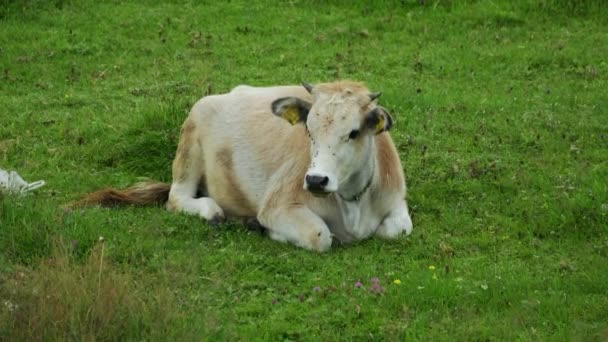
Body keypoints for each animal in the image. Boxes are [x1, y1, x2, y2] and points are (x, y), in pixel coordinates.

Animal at [79, 80, 414, 251]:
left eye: (354, 132)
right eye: (309, 130)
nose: (316, 180)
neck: (353, 204)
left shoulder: (397, 201)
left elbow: (398, 229)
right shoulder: (278, 206)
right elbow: (319, 236)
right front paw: (268, 230)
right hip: (190, 147)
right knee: (177, 198)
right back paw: (214, 212)